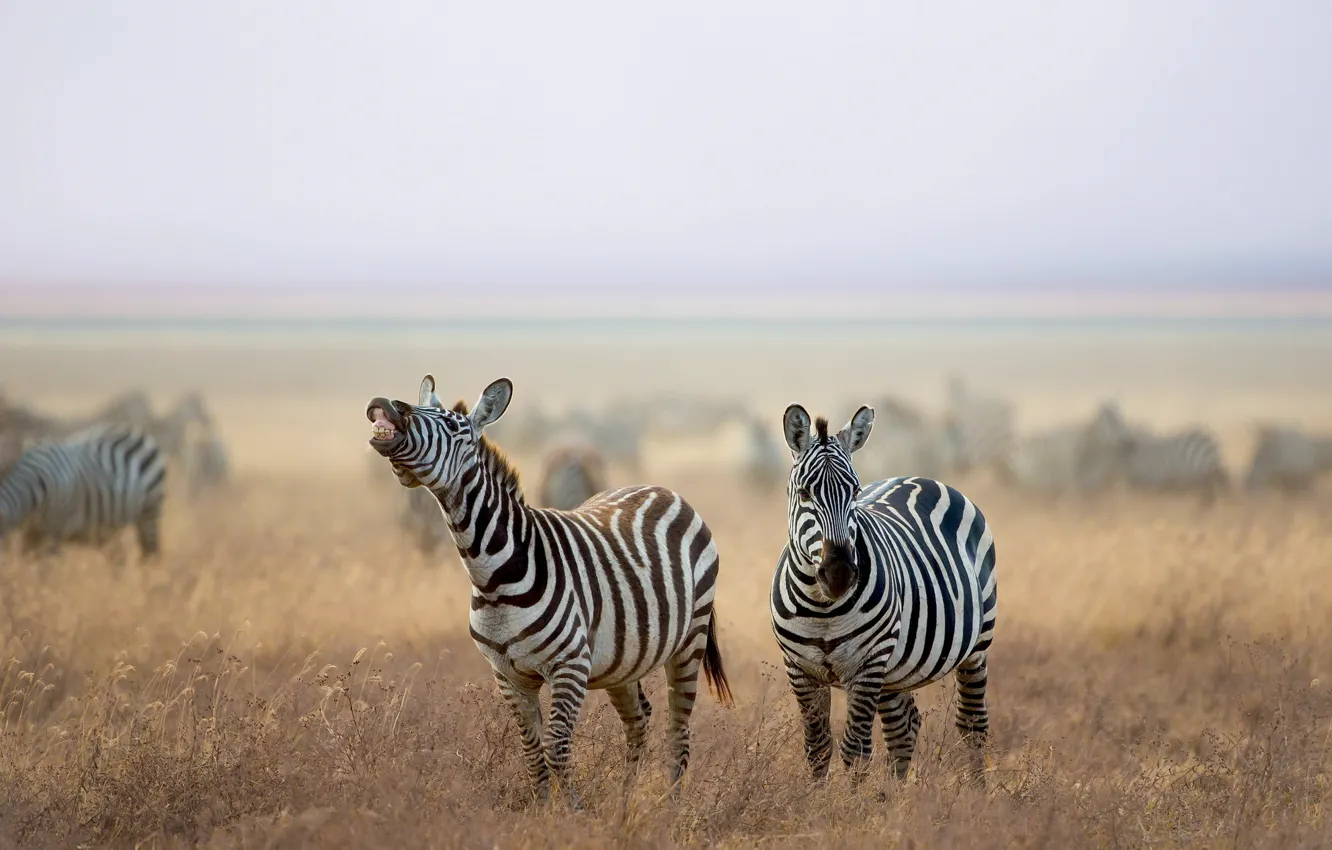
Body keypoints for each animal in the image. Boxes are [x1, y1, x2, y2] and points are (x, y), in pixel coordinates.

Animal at [0, 424, 167, 566]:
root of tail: (136, 432)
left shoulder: (56, 530)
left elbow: (47, 568)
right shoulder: (31, 534)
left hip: (149, 512)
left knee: (150, 552)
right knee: (121, 555)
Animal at [365, 374, 733, 807]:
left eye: (454, 427)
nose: (385, 403)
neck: (494, 577)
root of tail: (659, 489)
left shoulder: (569, 665)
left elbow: (556, 745)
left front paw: (573, 811)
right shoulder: (508, 675)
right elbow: (531, 749)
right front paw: (543, 810)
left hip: (690, 640)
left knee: (679, 728)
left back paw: (669, 806)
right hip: (623, 658)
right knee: (639, 719)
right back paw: (624, 803)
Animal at [770, 403, 997, 787]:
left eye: (854, 492)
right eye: (804, 494)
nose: (840, 574)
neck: (822, 606)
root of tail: (920, 477)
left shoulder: (867, 664)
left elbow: (855, 751)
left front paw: (851, 804)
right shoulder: (798, 668)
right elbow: (817, 749)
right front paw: (814, 800)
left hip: (976, 645)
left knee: (972, 726)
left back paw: (977, 794)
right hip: (895, 670)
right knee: (904, 728)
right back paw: (892, 797)